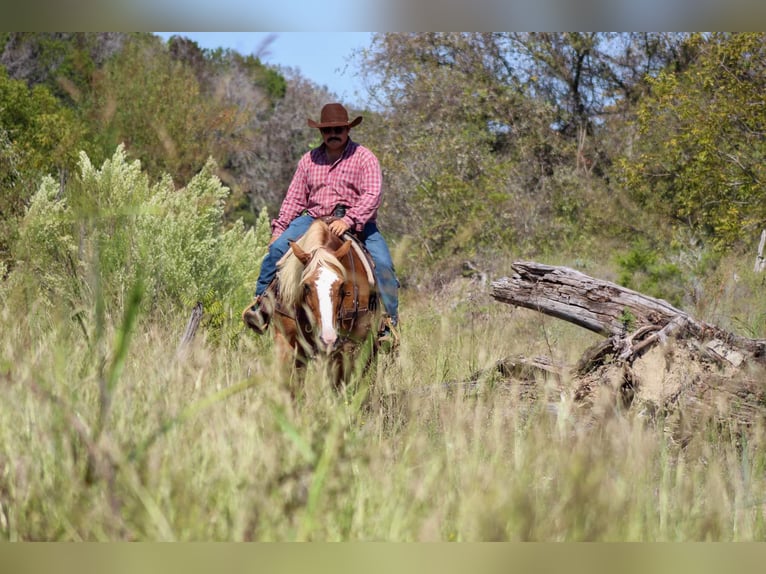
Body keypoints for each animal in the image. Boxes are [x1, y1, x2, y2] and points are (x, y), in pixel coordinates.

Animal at [244, 218, 382, 394]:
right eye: (306, 286)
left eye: (341, 286)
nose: (328, 338)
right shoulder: (286, 340)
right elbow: (291, 386)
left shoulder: (347, 347)